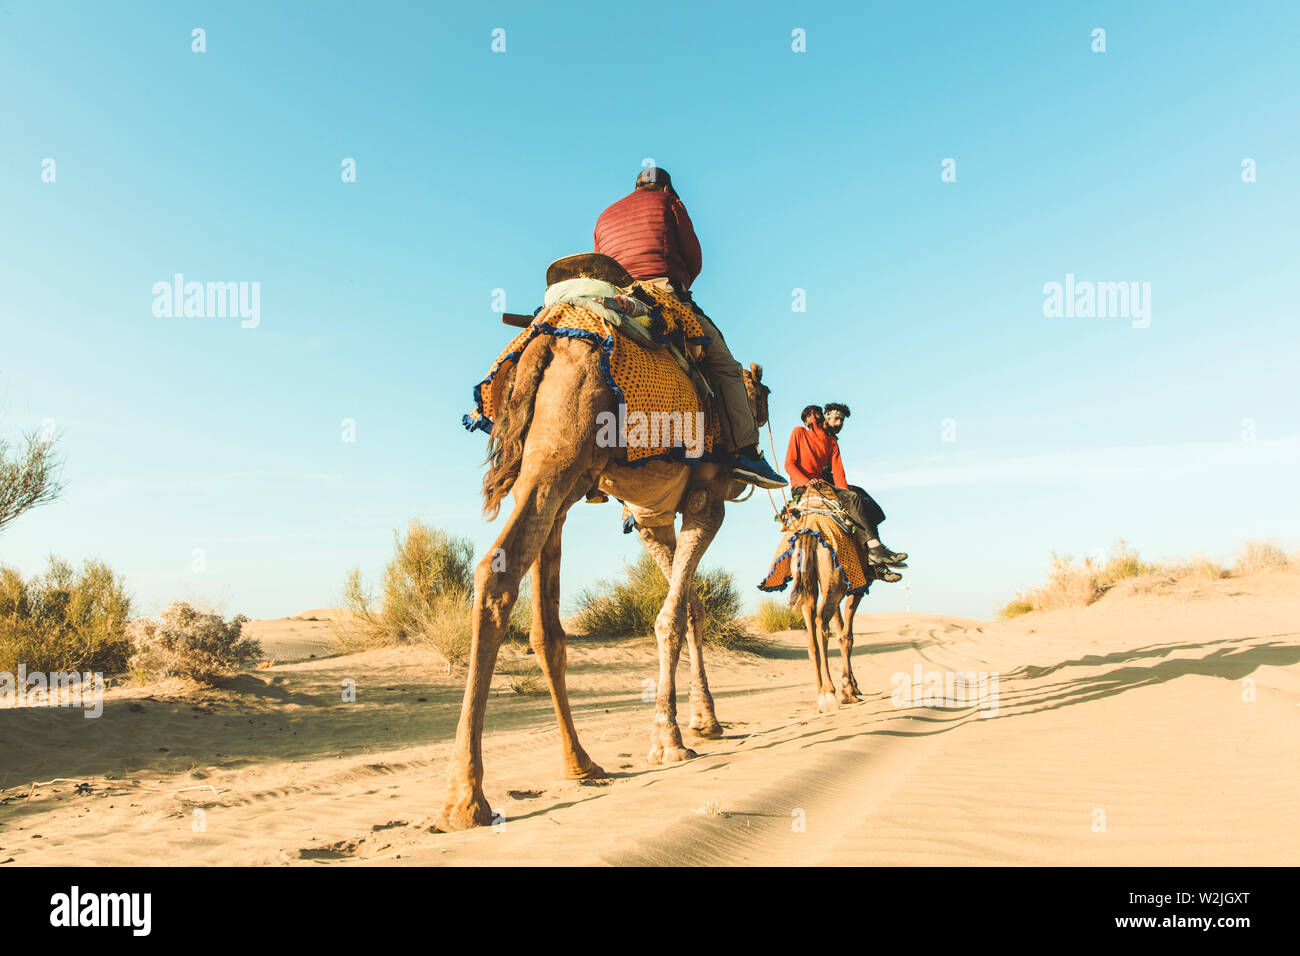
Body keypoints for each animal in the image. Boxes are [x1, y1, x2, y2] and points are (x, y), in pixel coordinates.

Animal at [436, 319, 769, 832]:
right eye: (762, 399)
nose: (748, 466)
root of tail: (546, 343)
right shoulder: (705, 497)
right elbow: (672, 616)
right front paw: (669, 740)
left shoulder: (651, 518)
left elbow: (690, 606)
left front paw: (705, 721)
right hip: (564, 453)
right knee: (496, 573)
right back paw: (466, 799)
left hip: (553, 473)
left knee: (542, 623)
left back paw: (579, 763)